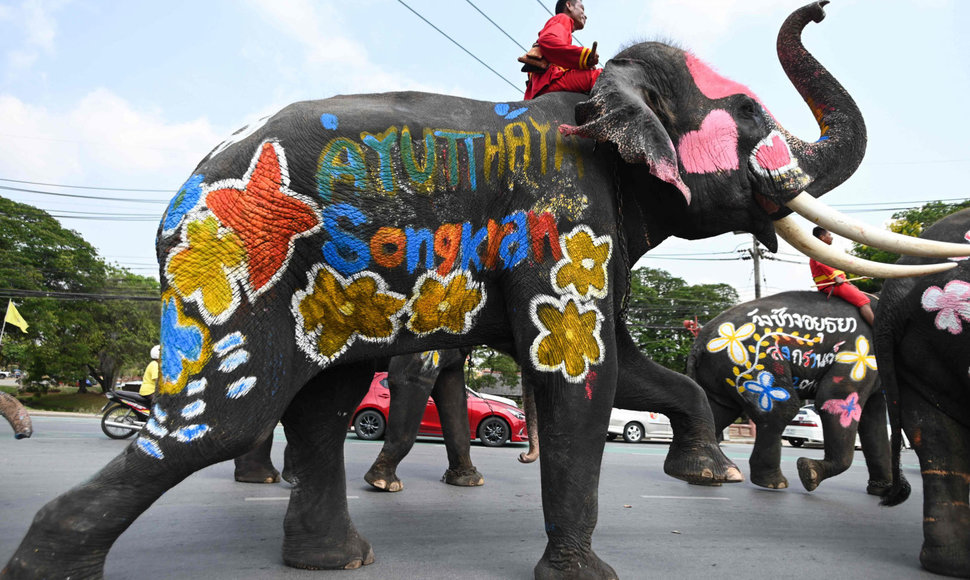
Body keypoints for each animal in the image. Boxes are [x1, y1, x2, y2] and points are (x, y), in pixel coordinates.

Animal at [7, 2, 960, 576]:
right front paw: (588, 574)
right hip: (241, 271)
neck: (599, 96)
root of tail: (187, 189)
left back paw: (338, 557)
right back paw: (49, 565)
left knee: (321, 406)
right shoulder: (564, 215)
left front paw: (701, 472)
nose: (823, 8)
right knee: (226, 419)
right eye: (755, 114)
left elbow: (622, 365)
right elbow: (579, 375)